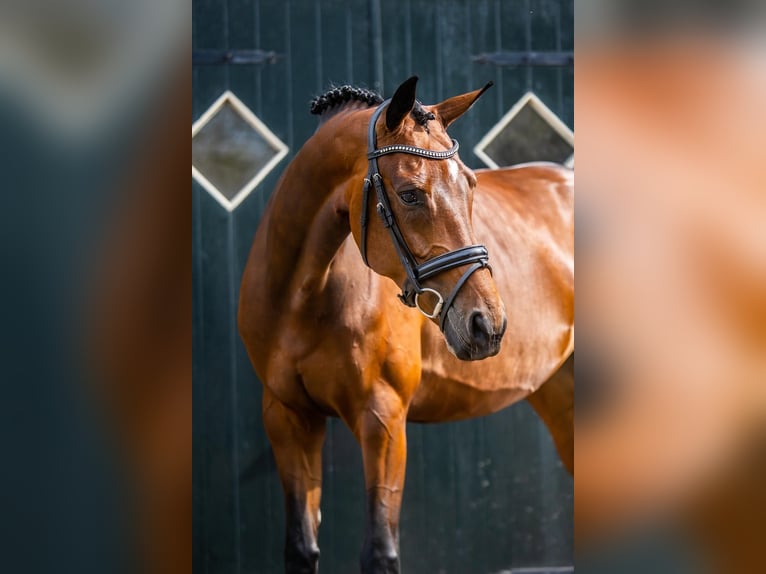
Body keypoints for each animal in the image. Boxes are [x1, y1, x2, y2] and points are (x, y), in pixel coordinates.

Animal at [238, 76, 574, 574]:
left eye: (471, 186)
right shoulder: (287, 417)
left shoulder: (383, 418)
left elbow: (380, 551)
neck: (302, 296)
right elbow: (301, 546)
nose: (486, 325)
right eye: (410, 193)